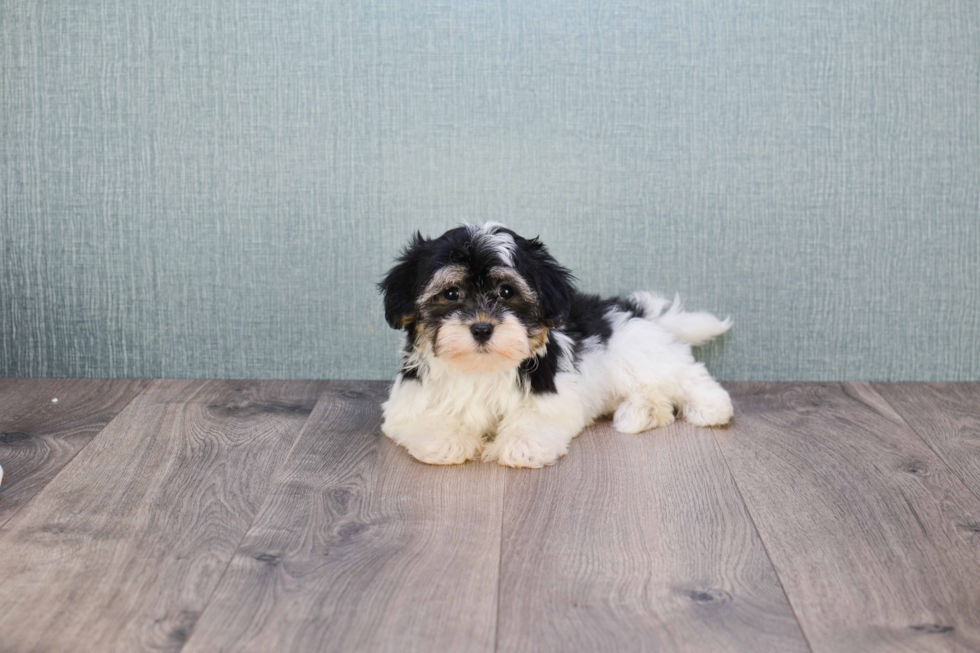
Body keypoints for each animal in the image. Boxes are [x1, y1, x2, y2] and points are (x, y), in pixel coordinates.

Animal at [378, 222, 732, 466]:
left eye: (506, 291)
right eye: (451, 293)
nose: (481, 328)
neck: (482, 367)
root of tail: (628, 308)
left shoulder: (551, 395)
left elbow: (534, 417)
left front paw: (520, 445)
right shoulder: (411, 400)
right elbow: (424, 418)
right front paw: (446, 441)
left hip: (637, 354)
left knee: (685, 375)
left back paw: (711, 408)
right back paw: (641, 413)